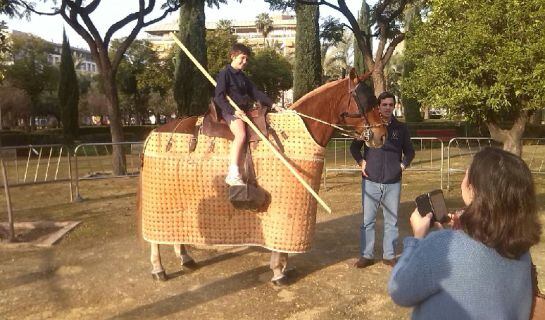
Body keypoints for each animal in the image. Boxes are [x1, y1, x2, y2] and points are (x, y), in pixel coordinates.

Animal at [138, 69, 386, 284]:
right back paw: (158, 269)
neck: (304, 127)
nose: (382, 135)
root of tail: (153, 133)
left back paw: (185, 257)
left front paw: (282, 267)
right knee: (154, 240)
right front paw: (278, 272)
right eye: (366, 100)